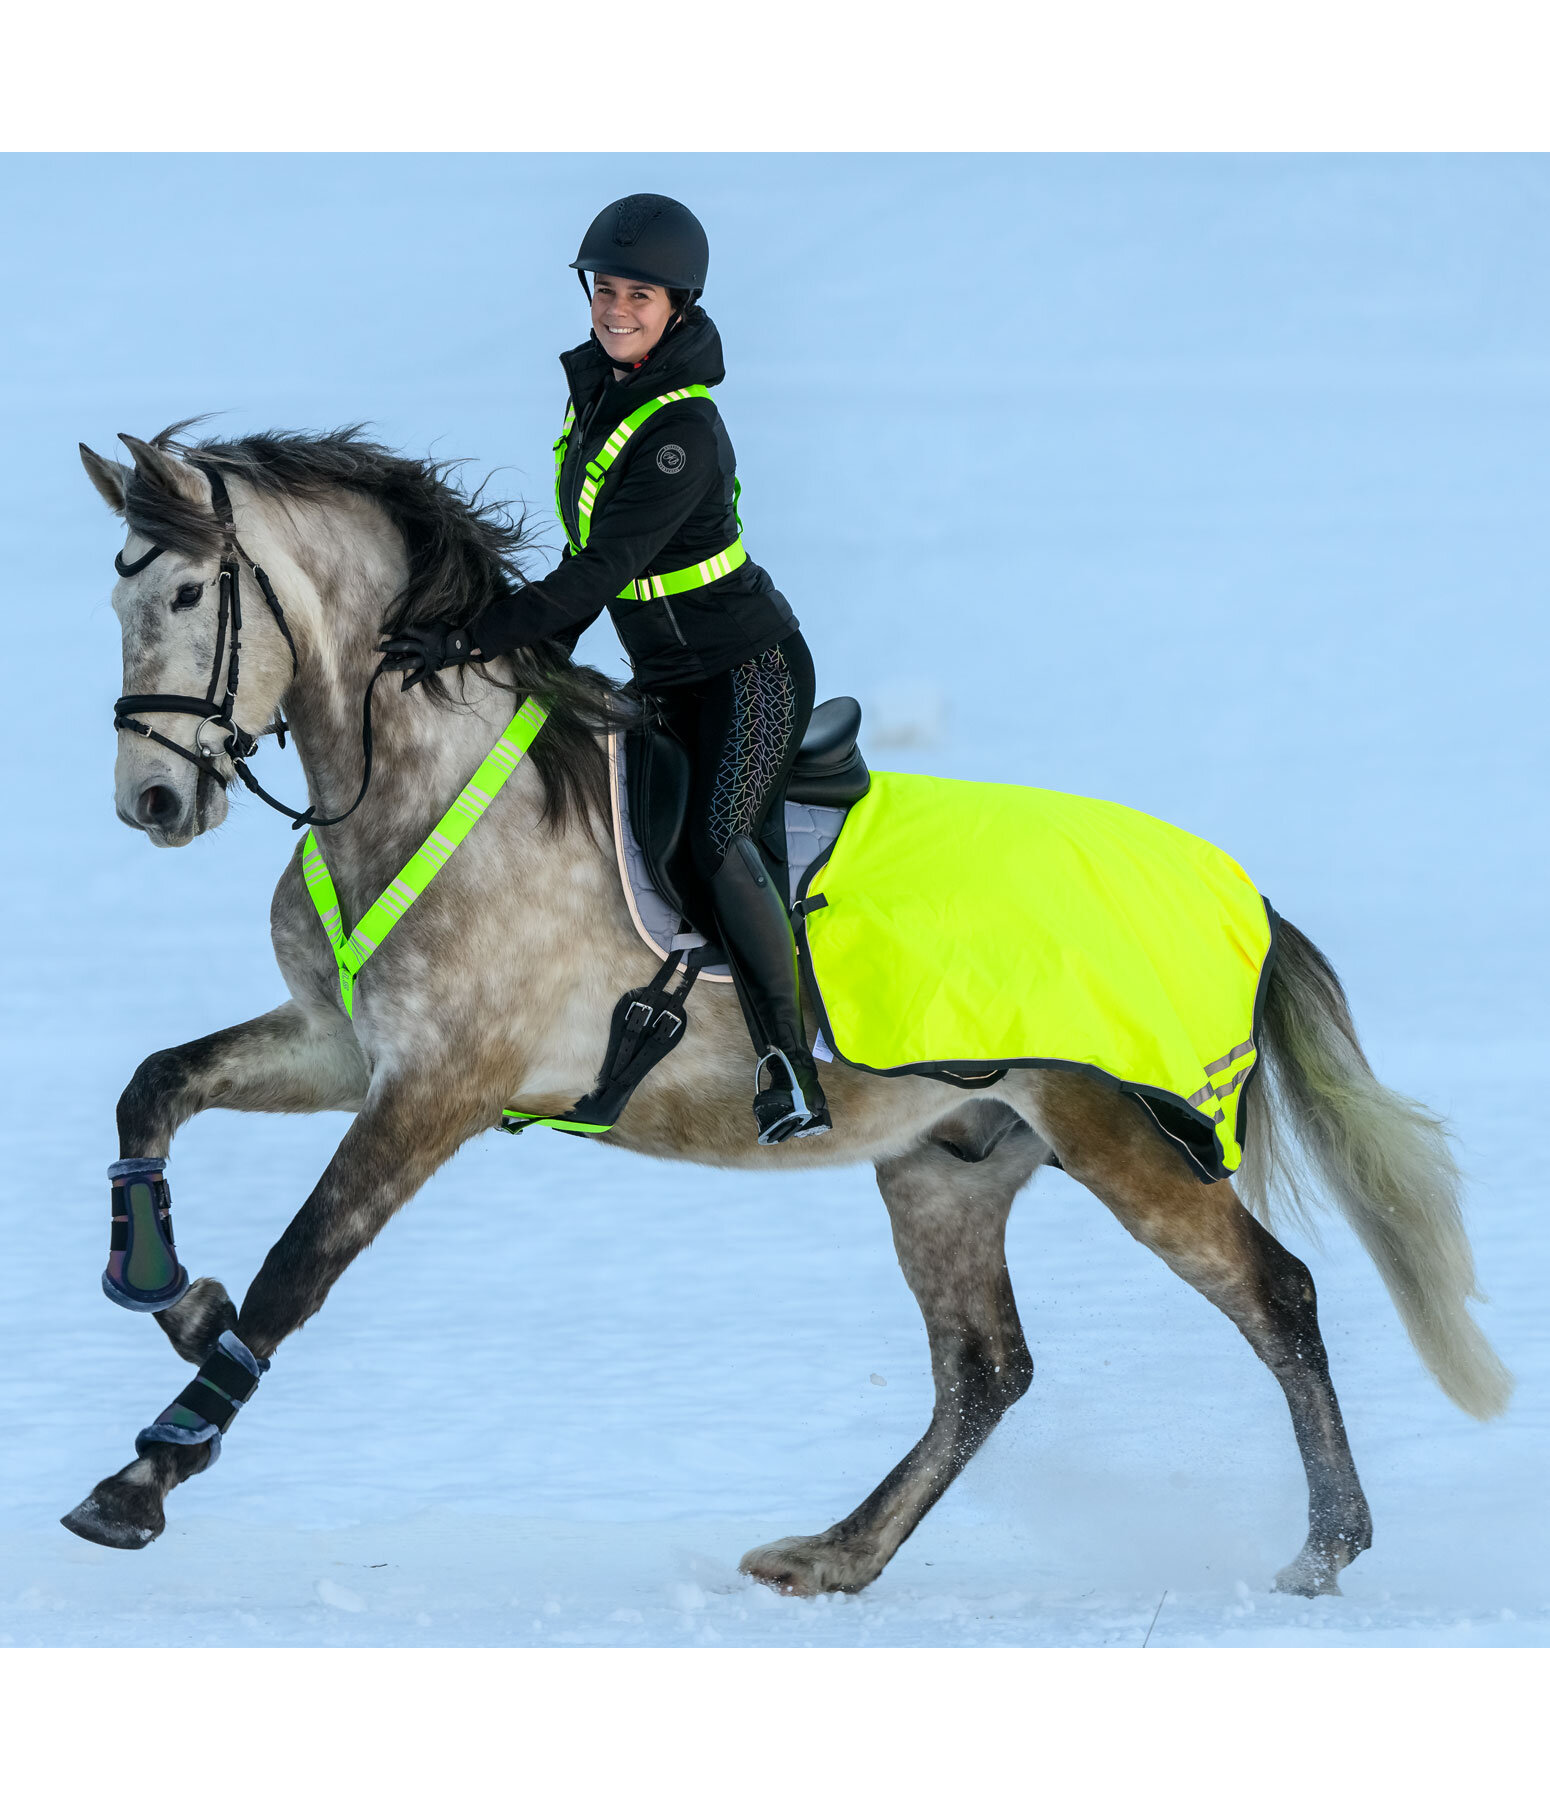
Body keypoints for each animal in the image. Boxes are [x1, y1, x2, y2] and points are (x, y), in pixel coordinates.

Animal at [66, 424, 1504, 1605]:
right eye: (117, 593)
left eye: (189, 593)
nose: (151, 802)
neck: (423, 785)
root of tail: (1243, 898)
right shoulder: (340, 1047)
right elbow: (154, 1087)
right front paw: (166, 1290)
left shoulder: (439, 1087)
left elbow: (300, 1265)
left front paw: (142, 1480)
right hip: (946, 1167)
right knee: (986, 1367)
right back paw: (835, 1556)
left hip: (1122, 1140)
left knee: (1273, 1293)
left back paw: (1321, 1552)